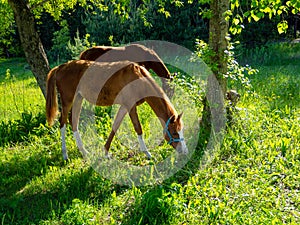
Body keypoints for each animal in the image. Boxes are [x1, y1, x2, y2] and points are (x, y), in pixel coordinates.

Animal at [45, 59, 186, 160]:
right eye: (174, 132)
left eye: (181, 130)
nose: (184, 151)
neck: (137, 78)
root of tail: (60, 68)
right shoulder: (130, 106)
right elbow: (138, 128)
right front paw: (147, 154)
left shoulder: (124, 106)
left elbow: (115, 126)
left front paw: (106, 152)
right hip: (67, 101)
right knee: (62, 123)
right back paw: (65, 155)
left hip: (79, 99)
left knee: (73, 122)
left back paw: (84, 152)